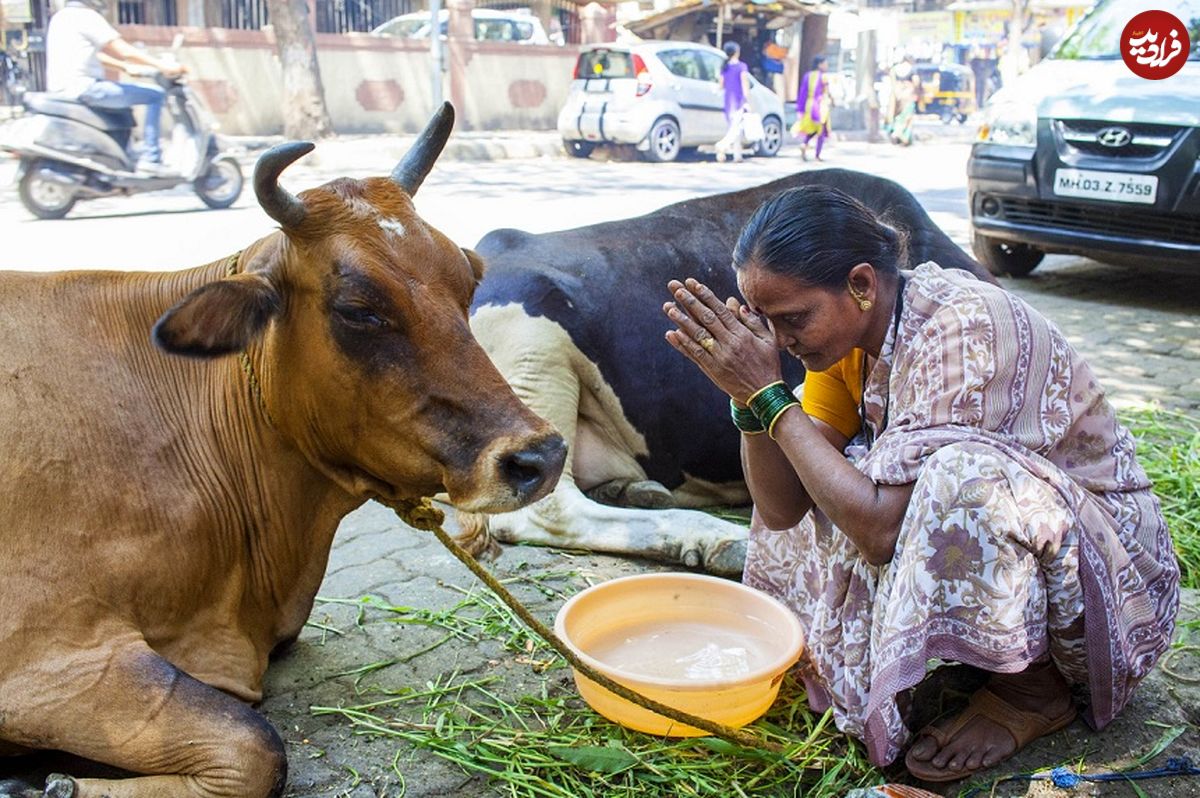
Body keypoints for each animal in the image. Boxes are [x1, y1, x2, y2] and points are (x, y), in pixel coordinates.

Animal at [0, 102, 566, 792]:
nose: (539, 457)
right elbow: (254, 746)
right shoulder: (45, 652)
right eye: (358, 308)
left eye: (468, 279)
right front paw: (54, 783)